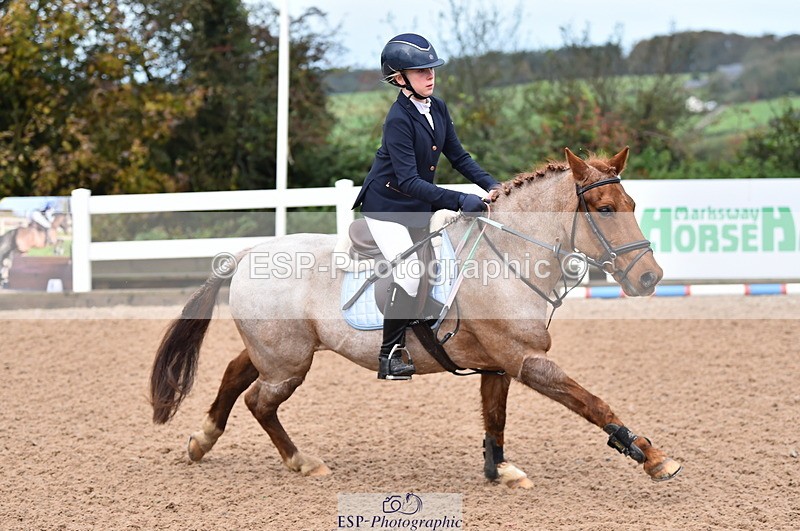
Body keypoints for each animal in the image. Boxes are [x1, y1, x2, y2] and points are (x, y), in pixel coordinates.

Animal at [149, 147, 682, 487]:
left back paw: (202, 441)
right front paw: (651, 455)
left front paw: (499, 470)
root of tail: (246, 254)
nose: (650, 277)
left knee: (235, 374)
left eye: (633, 204)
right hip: (288, 363)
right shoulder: (525, 359)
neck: (507, 255)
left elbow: (495, 417)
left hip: (280, 351)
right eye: (606, 209)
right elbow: (592, 402)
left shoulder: (499, 364)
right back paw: (303, 462)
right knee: (259, 401)